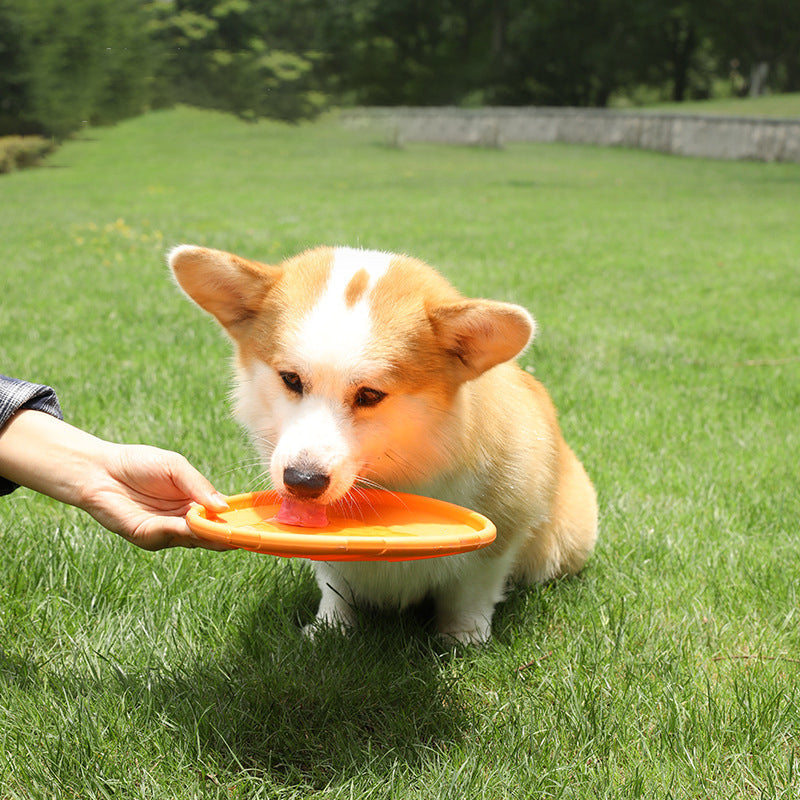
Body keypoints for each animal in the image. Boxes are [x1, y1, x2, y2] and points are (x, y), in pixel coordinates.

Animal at [172, 244, 596, 644]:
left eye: (370, 395)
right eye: (290, 379)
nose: (302, 481)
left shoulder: (503, 526)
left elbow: (473, 588)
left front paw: (463, 637)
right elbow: (335, 582)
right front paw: (331, 628)